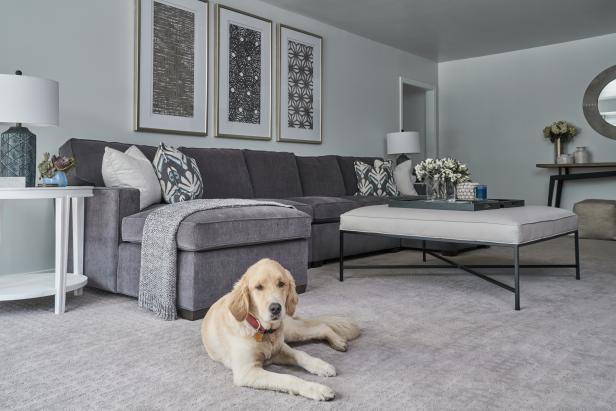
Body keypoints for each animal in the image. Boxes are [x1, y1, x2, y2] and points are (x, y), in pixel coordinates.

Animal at [200, 260, 358, 400]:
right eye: (258, 287)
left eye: (281, 284)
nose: (276, 308)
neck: (263, 331)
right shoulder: (247, 371)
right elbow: (289, 378)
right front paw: (317, 389)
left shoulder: (279, 348)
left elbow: (301, 354)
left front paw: (321, 365)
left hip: (291, 331)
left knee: (321, 326)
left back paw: (338, 341)